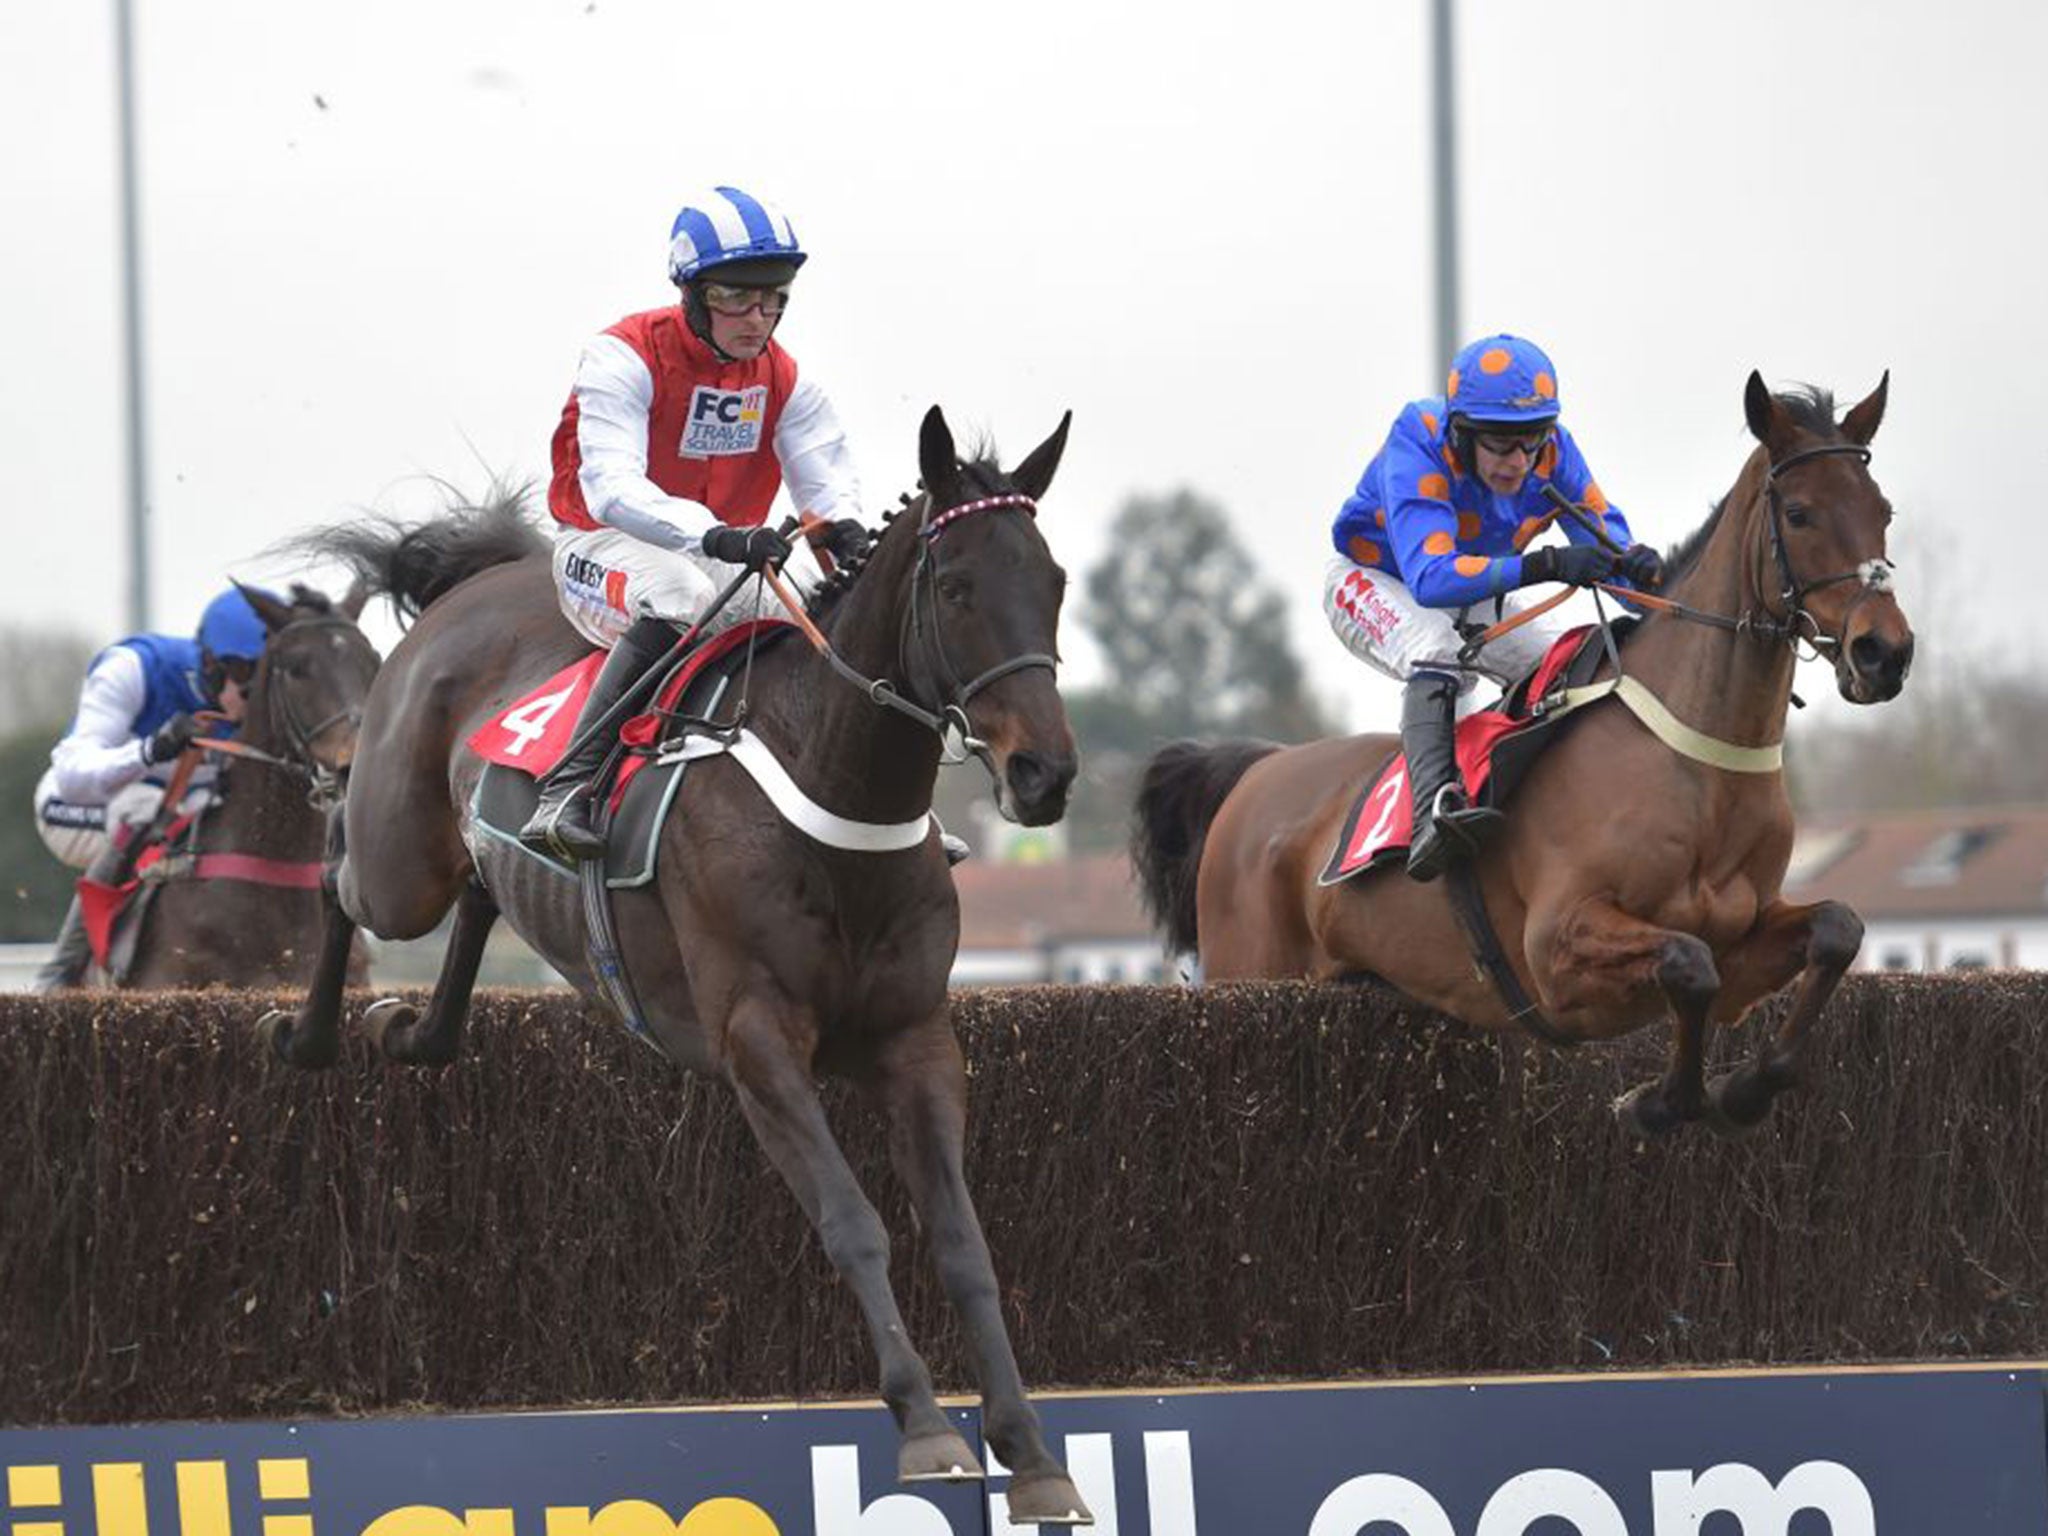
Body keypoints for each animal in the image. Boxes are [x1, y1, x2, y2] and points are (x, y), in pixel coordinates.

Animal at [268, 409, 1105, 1531]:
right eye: (959, 586)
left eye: (1053, 579)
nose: (1043, 774)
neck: (834, 791)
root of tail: (470, 589)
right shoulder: (757, 1041)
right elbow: (854, 1224)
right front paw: (928, 1426)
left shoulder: (916, 1039)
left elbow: (965, 1244)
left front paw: (1030, 1451)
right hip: (400, 857)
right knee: (338, 871)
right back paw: (310, 1029)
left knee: (483, 894)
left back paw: (411, 1029)